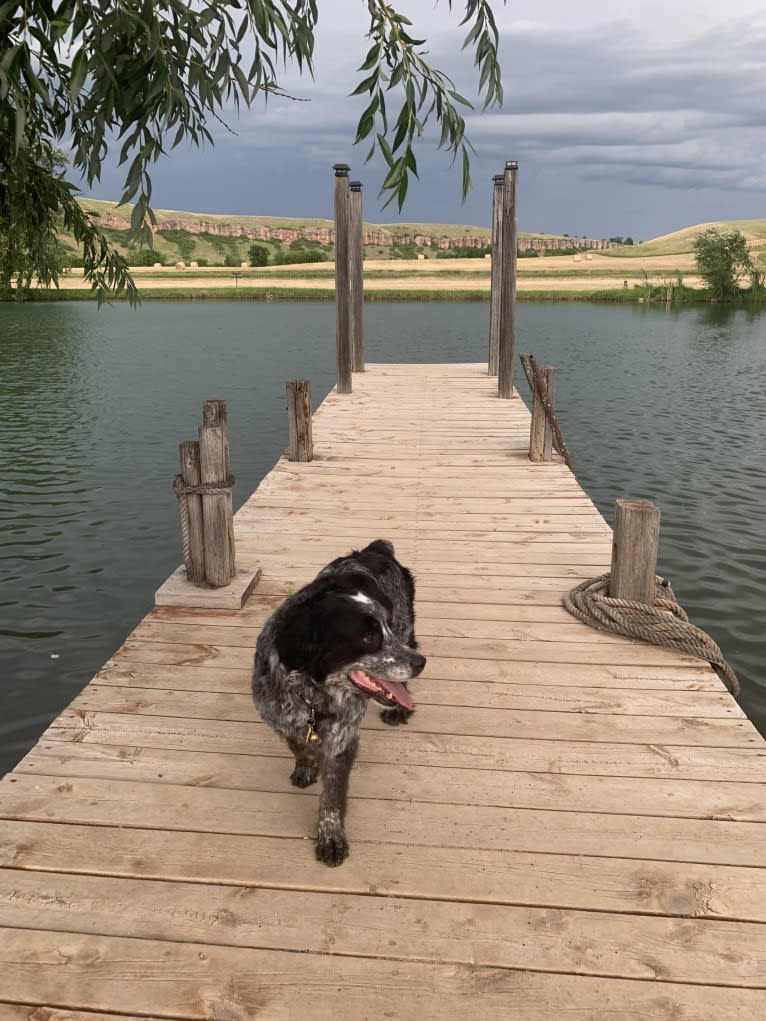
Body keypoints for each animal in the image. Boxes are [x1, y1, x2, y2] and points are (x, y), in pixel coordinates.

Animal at [253, 539, 426, 865]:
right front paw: (307, 765)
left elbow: (332, 795)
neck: (310, 693)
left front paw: (331, 838)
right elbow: (297, 745)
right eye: (369, 636)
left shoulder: (343, 738)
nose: (422, 663)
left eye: (384, 627)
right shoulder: (276, 717)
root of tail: (374, 549)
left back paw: (399, 709)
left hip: (406, 626)